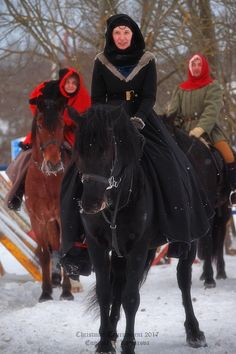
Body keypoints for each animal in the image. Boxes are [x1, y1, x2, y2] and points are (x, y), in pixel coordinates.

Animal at [69, 105, 206, 354]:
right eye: (78, 151)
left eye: (107, 151)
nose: (91, 204)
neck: (118, 197)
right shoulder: (97, 245)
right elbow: (105, 293)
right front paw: (105, 343)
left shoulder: (138, 248)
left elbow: (131, 298)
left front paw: (128, 345)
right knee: (117, 285)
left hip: (188, 242)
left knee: (183, 280)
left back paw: (194, 332)